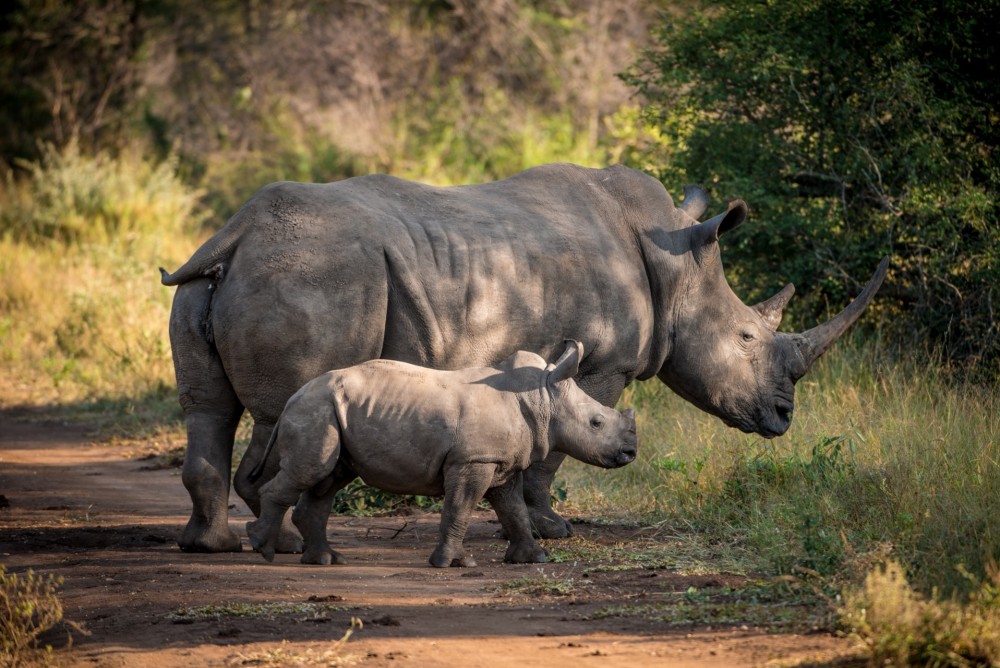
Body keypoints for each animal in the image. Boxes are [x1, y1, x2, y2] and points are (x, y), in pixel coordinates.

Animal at [250, 342, 640, 568]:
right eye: (596, 423)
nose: (630, 453)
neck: (542, 398)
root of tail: (293, 398)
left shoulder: (499, 463)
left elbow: (513, 509)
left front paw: (533, 558)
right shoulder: (473, 461)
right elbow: (460, 508)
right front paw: (454, 564)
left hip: (331, 410)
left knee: (328, 478)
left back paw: (326, 560)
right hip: (315, 409)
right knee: (313, 471)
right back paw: (265, 550)